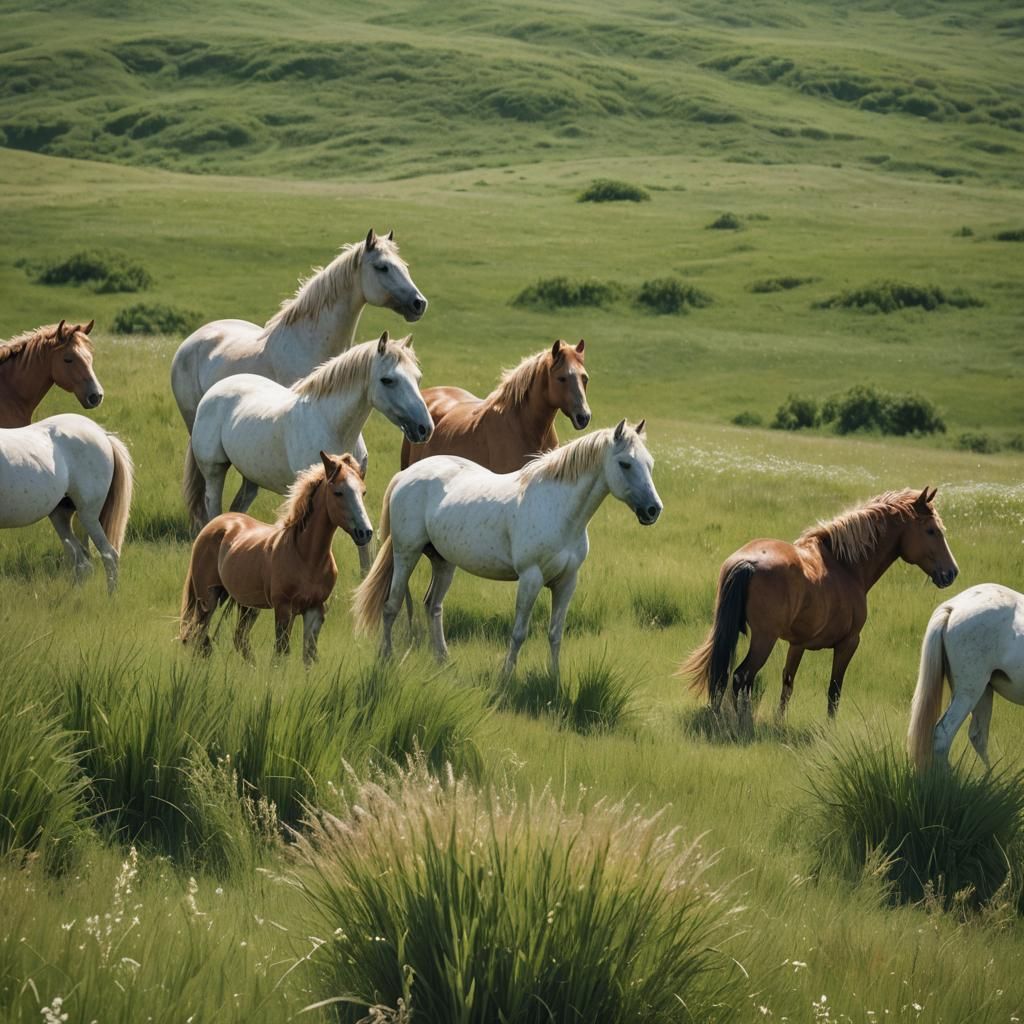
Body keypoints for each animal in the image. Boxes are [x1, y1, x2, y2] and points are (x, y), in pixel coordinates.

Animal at [0, 414, 134, 592]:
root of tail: (102, 433)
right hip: (60, 515)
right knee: (82, 560)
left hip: (88, 515)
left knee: (109, 555)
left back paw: (111, 596)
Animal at [179, 451, 373, 664]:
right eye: (338, 493)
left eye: (363, 492)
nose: (365, 533)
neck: (307, 557)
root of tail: (214, 523)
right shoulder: (284, 608)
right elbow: (281, 653)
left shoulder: (315, 610)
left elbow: (309, 656)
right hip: (207, 598)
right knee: (199, 636)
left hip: (248, 606)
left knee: (238, 639)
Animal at [185, 332, 433, 575]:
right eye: (387, 380)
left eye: (418, 378)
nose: (425, 428)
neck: (330, 423)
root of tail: (215, 390)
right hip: (214, 471)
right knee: (213, 506)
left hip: (251, 478)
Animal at [353, 419, 662, 678]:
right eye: (625, 464)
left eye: (649, 463)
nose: (653, 510)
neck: (558, 508)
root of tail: (405, 475)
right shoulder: (531, 577)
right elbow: (519, 632)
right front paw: (507, 676)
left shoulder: (567, 582)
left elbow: (555, 633)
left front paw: (554, 678)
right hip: (406, 553)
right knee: (391, 605)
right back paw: (386, 658)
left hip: (443, 561)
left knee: (432, 606)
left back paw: (443, 660)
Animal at [682, 487, 958, 720]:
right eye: (932, 530)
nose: (952, 572)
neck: (845, 565)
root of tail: (747, 562)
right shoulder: (849, 643)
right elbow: (834, 691)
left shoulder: (798, 645)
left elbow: (787, 683)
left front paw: (780, 721)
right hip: (764, 640)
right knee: (743, 677)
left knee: (724, 676)